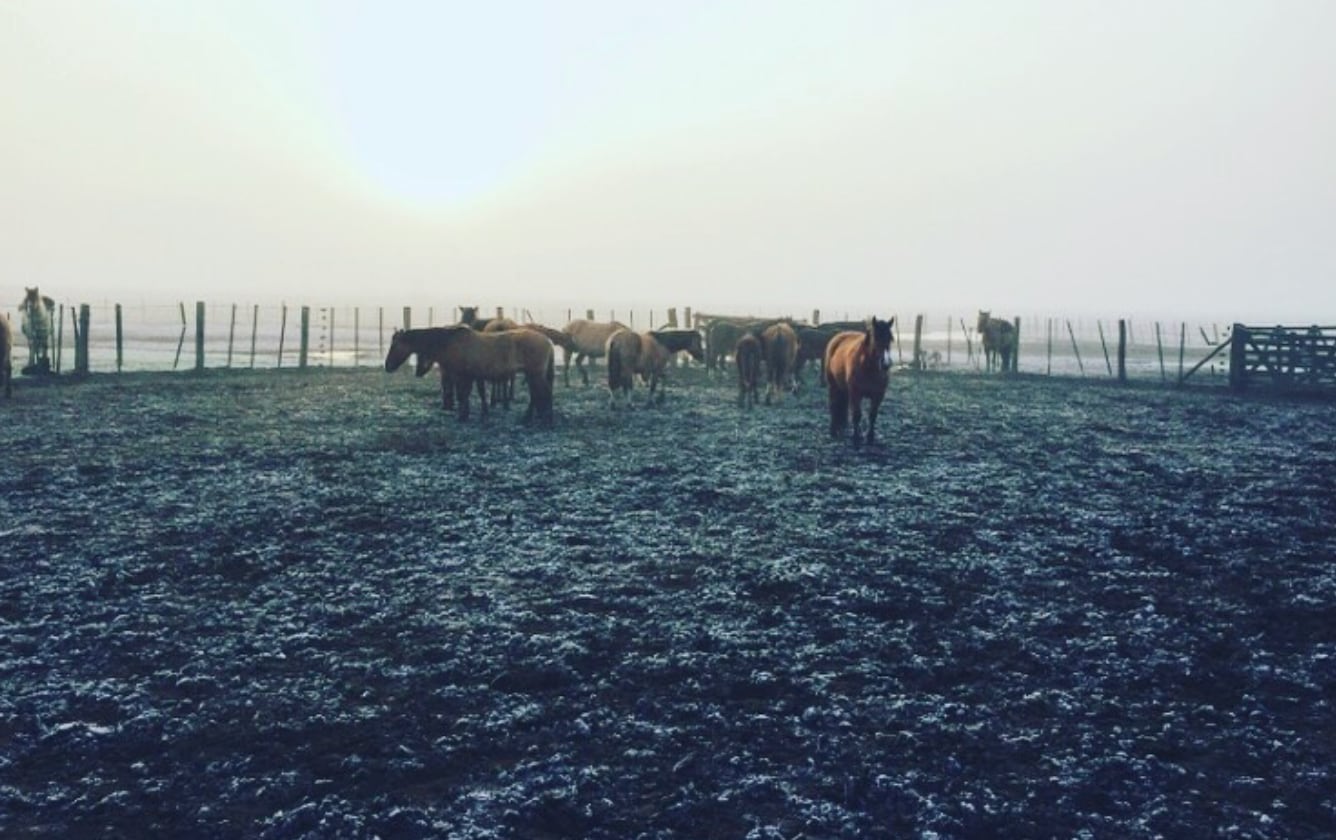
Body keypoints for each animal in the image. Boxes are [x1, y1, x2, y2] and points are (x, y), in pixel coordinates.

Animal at [385, 327, 554, 424]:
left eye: (395, 345)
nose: (387, 366)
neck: (450, 342)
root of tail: (547, 340)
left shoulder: (461, 376)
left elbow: (462, 395)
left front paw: (462, 416)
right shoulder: (468, 377)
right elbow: (465, 395)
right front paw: (465, 415)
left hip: (535, 374)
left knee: (543, 393)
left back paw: (544, 418)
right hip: (532, 374)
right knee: (537, 395)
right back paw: (531, 417)